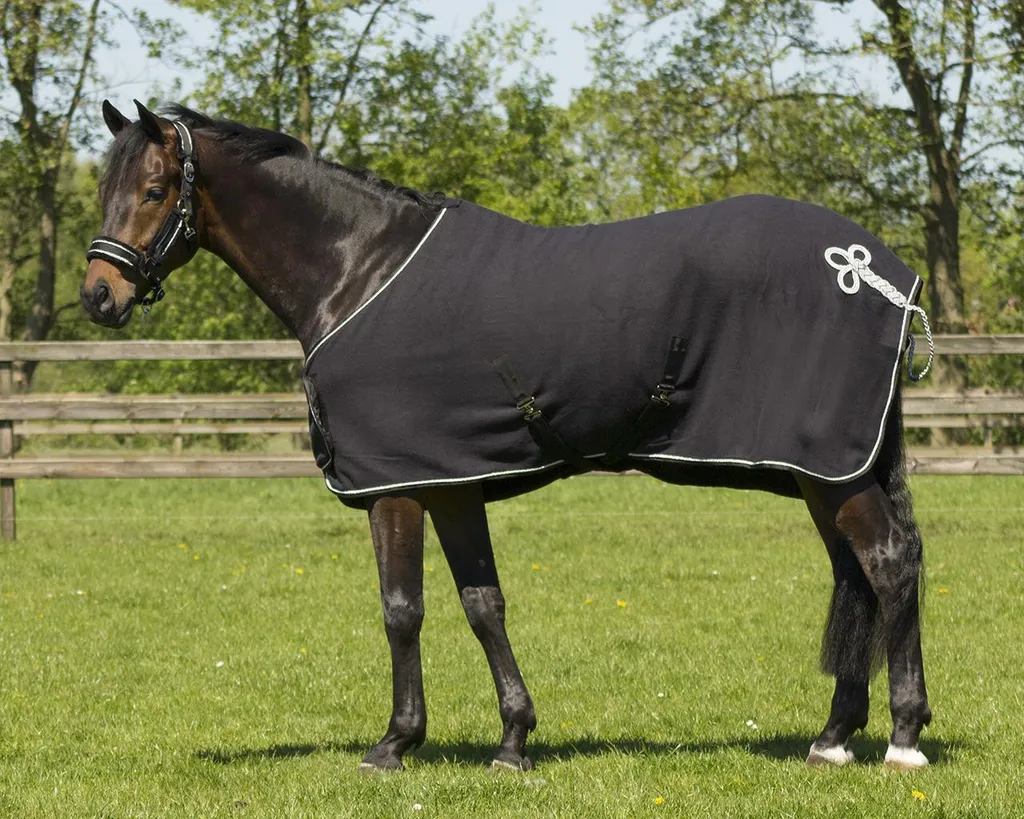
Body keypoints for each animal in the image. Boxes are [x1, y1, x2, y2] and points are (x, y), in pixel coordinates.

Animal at [81, 100, 933, 773]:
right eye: (103, 189)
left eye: (154, 190)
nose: (99, 295)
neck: (357, 270)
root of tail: (885, 276)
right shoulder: (453, 480)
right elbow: (482, 602)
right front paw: (514, 740)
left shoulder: (397, 483)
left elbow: (402, 608)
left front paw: (393, 743)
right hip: (825, 470)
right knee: (858, 573)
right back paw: (832, 737)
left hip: (832, 468)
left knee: (889, 564)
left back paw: (902, 736)